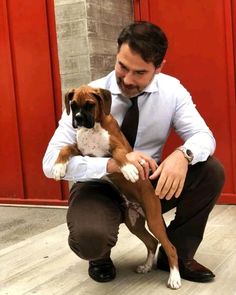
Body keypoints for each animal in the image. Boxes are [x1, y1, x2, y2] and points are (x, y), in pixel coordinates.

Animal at [53, 85, 181, 290]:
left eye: (90, 104)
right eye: (72, 105)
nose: (78, 119)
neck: (94, 127)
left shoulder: (116, 146)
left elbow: (120, 155)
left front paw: (129, 169)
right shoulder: (82, 151)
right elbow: (65, 148)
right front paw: (58, 167)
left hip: (154, 220)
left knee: (170, 247)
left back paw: (175, 278)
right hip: (134, 224)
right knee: (152, 242)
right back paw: (146, 266)